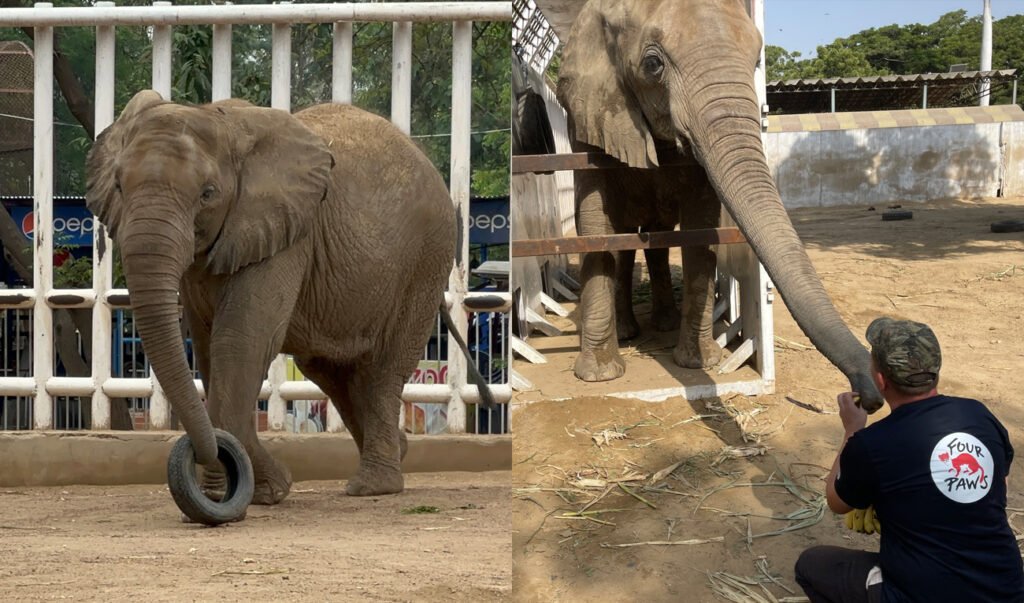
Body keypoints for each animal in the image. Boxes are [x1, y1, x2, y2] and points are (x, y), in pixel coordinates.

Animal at [86, 90, 492, 518]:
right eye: (118, 186)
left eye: (208, 194)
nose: (211, 454)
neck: (218, 118)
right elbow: (208, 349)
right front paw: (232, 492)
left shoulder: (286, 235)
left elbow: (240, 341)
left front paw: (248, 492)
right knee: (330, 370)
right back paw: (398, 451)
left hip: (426, 259)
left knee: (382, 370)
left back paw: (373, 486)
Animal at [555, 0, 883, 411]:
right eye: (653, 64)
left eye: (757, 59)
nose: (867, 397)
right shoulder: (588, 118)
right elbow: (597, 226)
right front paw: (599, 377)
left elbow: (699, 228)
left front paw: (699, 364)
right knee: (625, 240)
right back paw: (629, 332)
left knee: (657, 240)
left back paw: (663, 322)